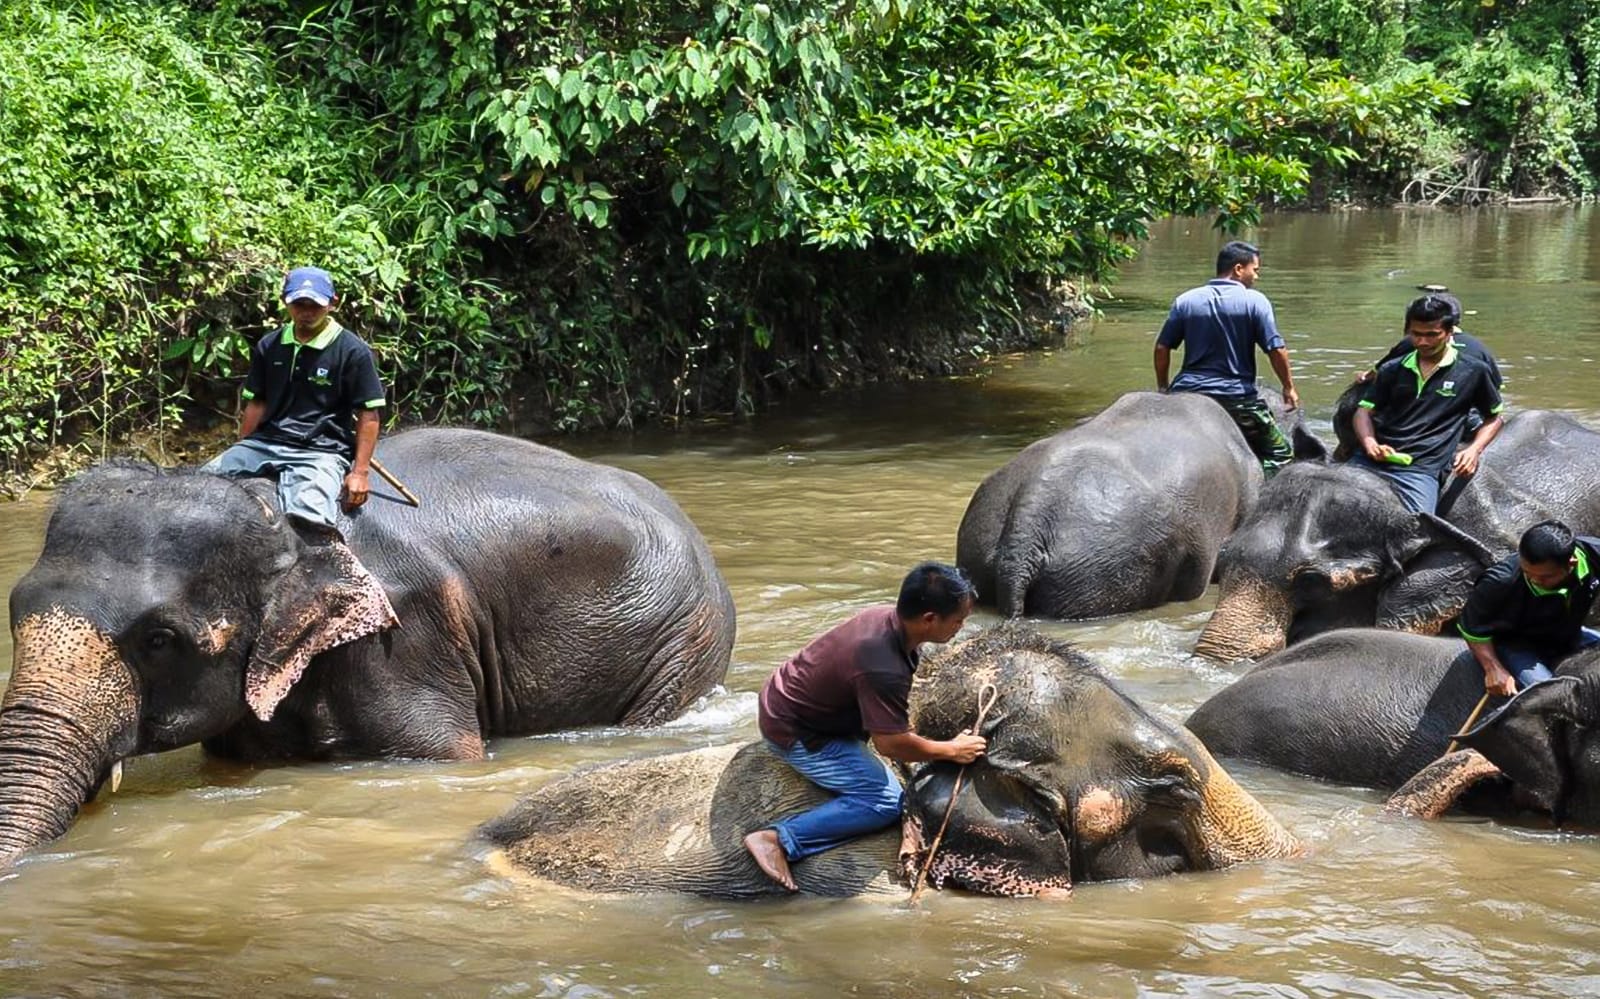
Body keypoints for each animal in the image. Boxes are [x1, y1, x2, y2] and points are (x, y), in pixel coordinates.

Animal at [0, 428, 736, 867]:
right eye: (14, 612)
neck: (276, 512)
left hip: (683, 640)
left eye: (159, 639)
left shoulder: (404, 641)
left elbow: (446, 753)